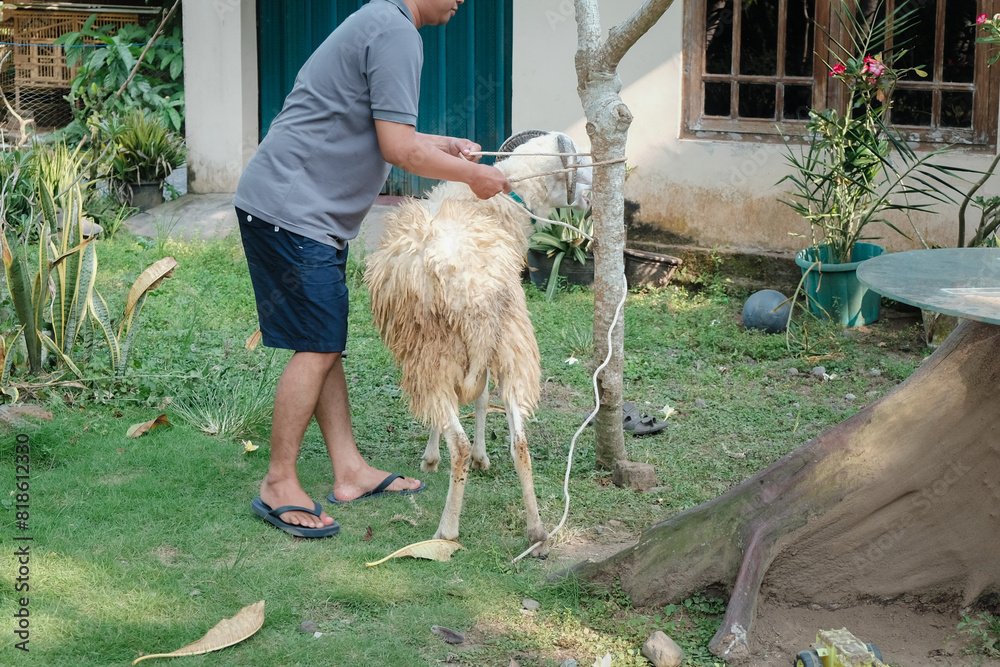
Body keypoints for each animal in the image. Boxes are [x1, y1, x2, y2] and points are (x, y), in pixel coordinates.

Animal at [365, 131, 591, 555]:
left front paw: (433, 457)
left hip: (433, 352)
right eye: (580, 164)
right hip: (512, 346)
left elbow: (461, 410)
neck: (507, 198)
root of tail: (477, 290)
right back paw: (537, 532)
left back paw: (446, 531)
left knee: (460, 444)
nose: (590, 201)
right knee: (520, 442)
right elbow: (483, 399)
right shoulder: (484, 356)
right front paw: (482, 456)